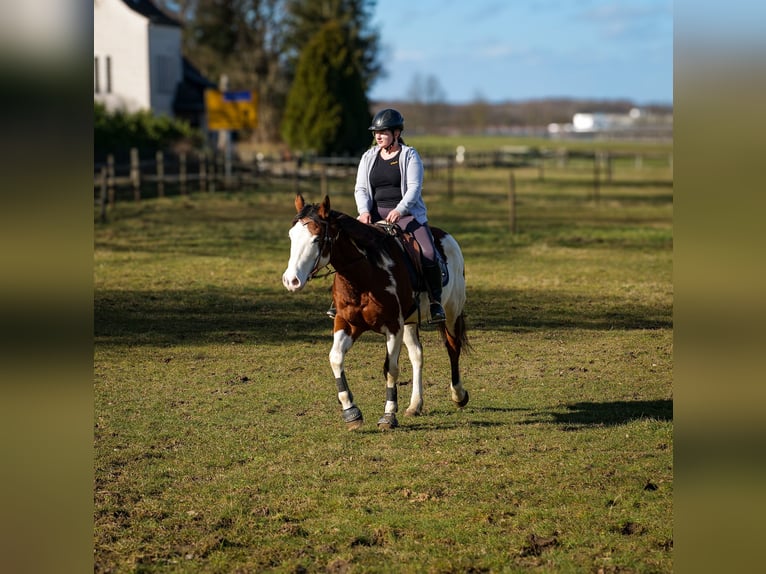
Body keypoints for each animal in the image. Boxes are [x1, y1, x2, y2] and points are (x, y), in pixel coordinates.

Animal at [284, 195, 472, 432]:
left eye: (317, 239)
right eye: (291, 236)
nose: (291, 281)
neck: (365, 273)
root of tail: (445, 236)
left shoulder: (393, 326)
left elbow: (390, 368)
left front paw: (389, 415)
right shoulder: (347, 322)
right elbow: (335, 358)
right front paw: (351, 412)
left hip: (452, 310)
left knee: (453, 348)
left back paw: (459, 395)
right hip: (410, 322)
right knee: (417, 355)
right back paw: (415, 405)